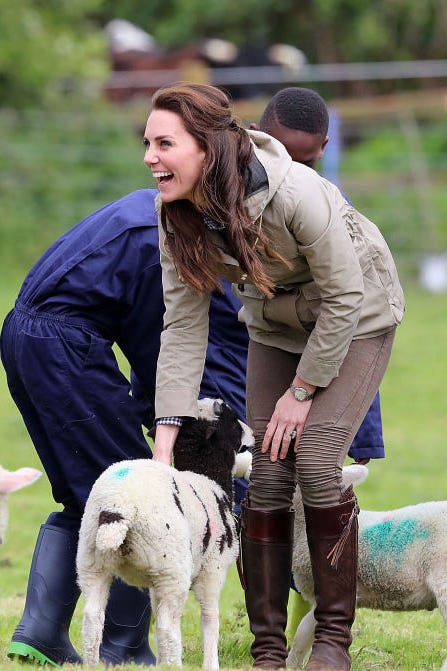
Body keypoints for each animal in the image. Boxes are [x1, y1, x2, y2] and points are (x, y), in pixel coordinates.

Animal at [75, 400, 254, 671]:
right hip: (172, 569)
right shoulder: (213, 569)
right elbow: (210, 618)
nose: (254, 434)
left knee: (92, 618)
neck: (208, 478)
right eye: (232, 420)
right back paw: (173, 665)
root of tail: (117, 505)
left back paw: (92, 663)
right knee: (168, 626)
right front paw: (211, 664)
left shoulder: (155, 578)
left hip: (92, 560)